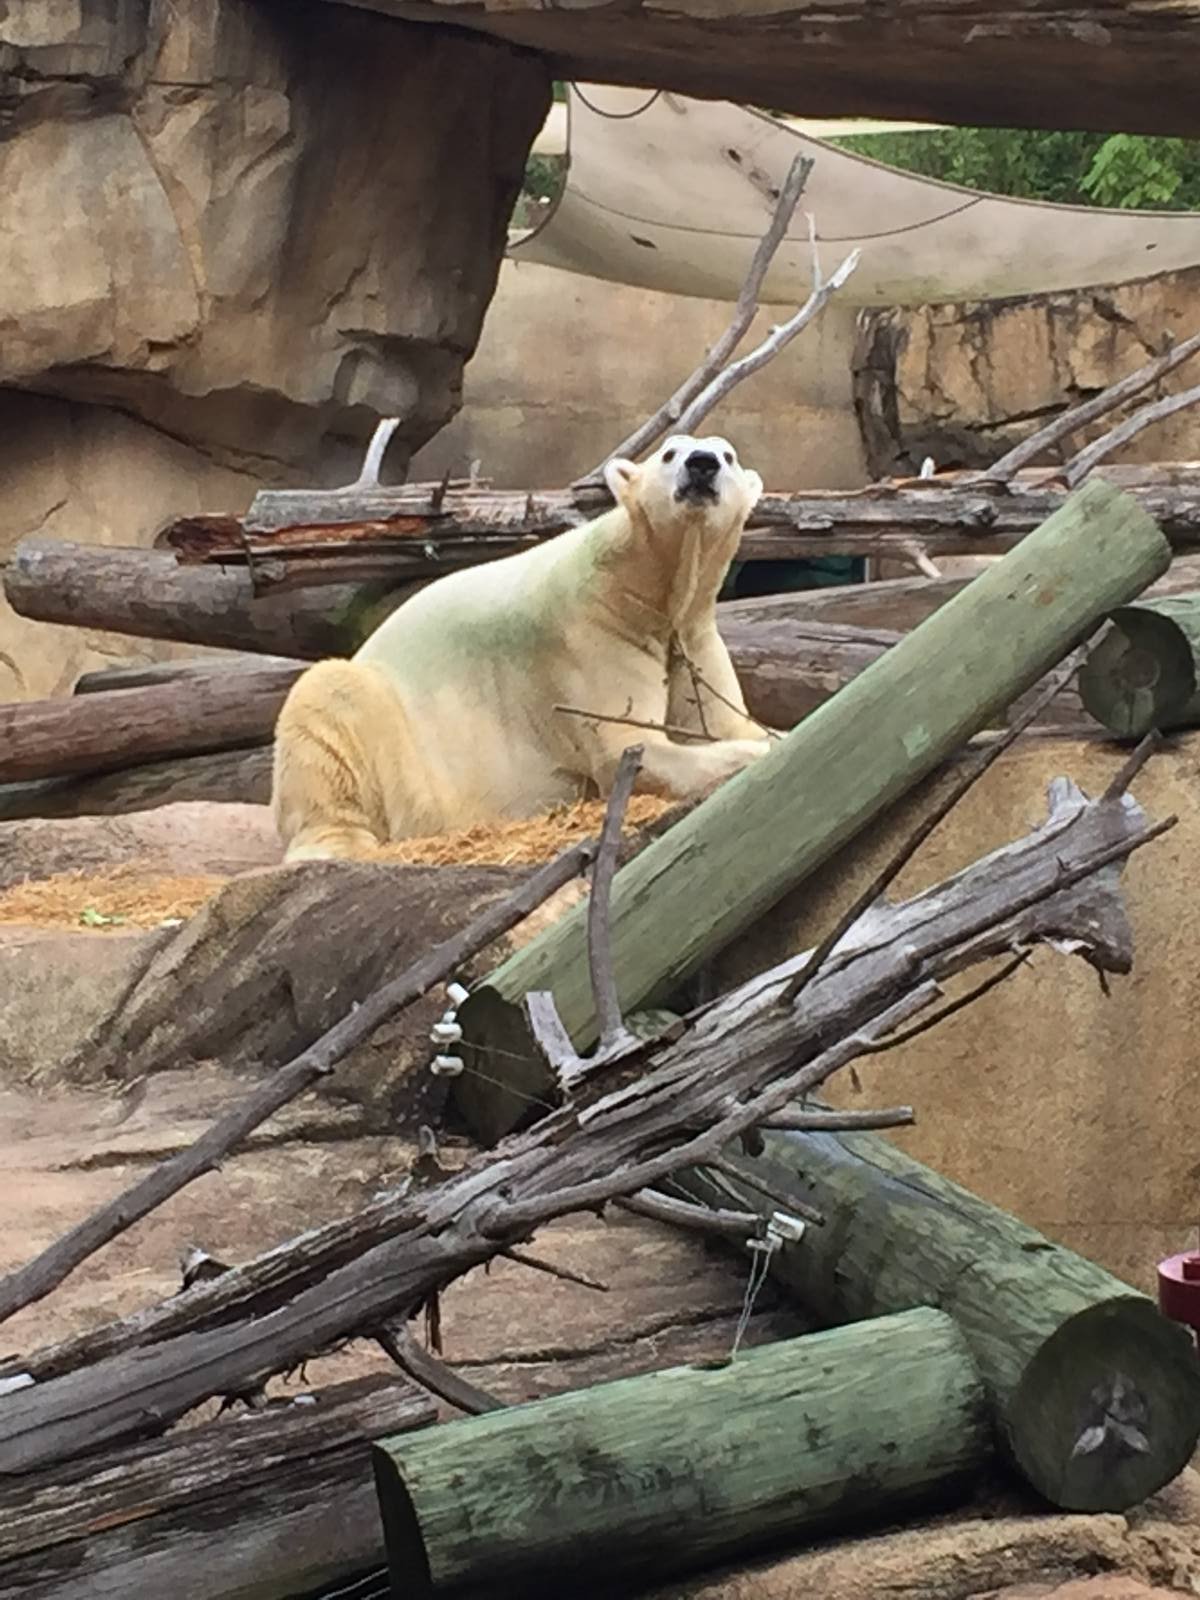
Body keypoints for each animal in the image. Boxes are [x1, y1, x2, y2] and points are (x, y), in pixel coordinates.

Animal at [271, 433, 773, 862]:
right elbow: (631, 749)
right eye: (669, 453)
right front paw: (754, 754)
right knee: (329, 698)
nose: (702, 464)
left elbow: (723, 720)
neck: (647, 587)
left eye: (727, 455)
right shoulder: (593, 630)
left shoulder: (691, 634)